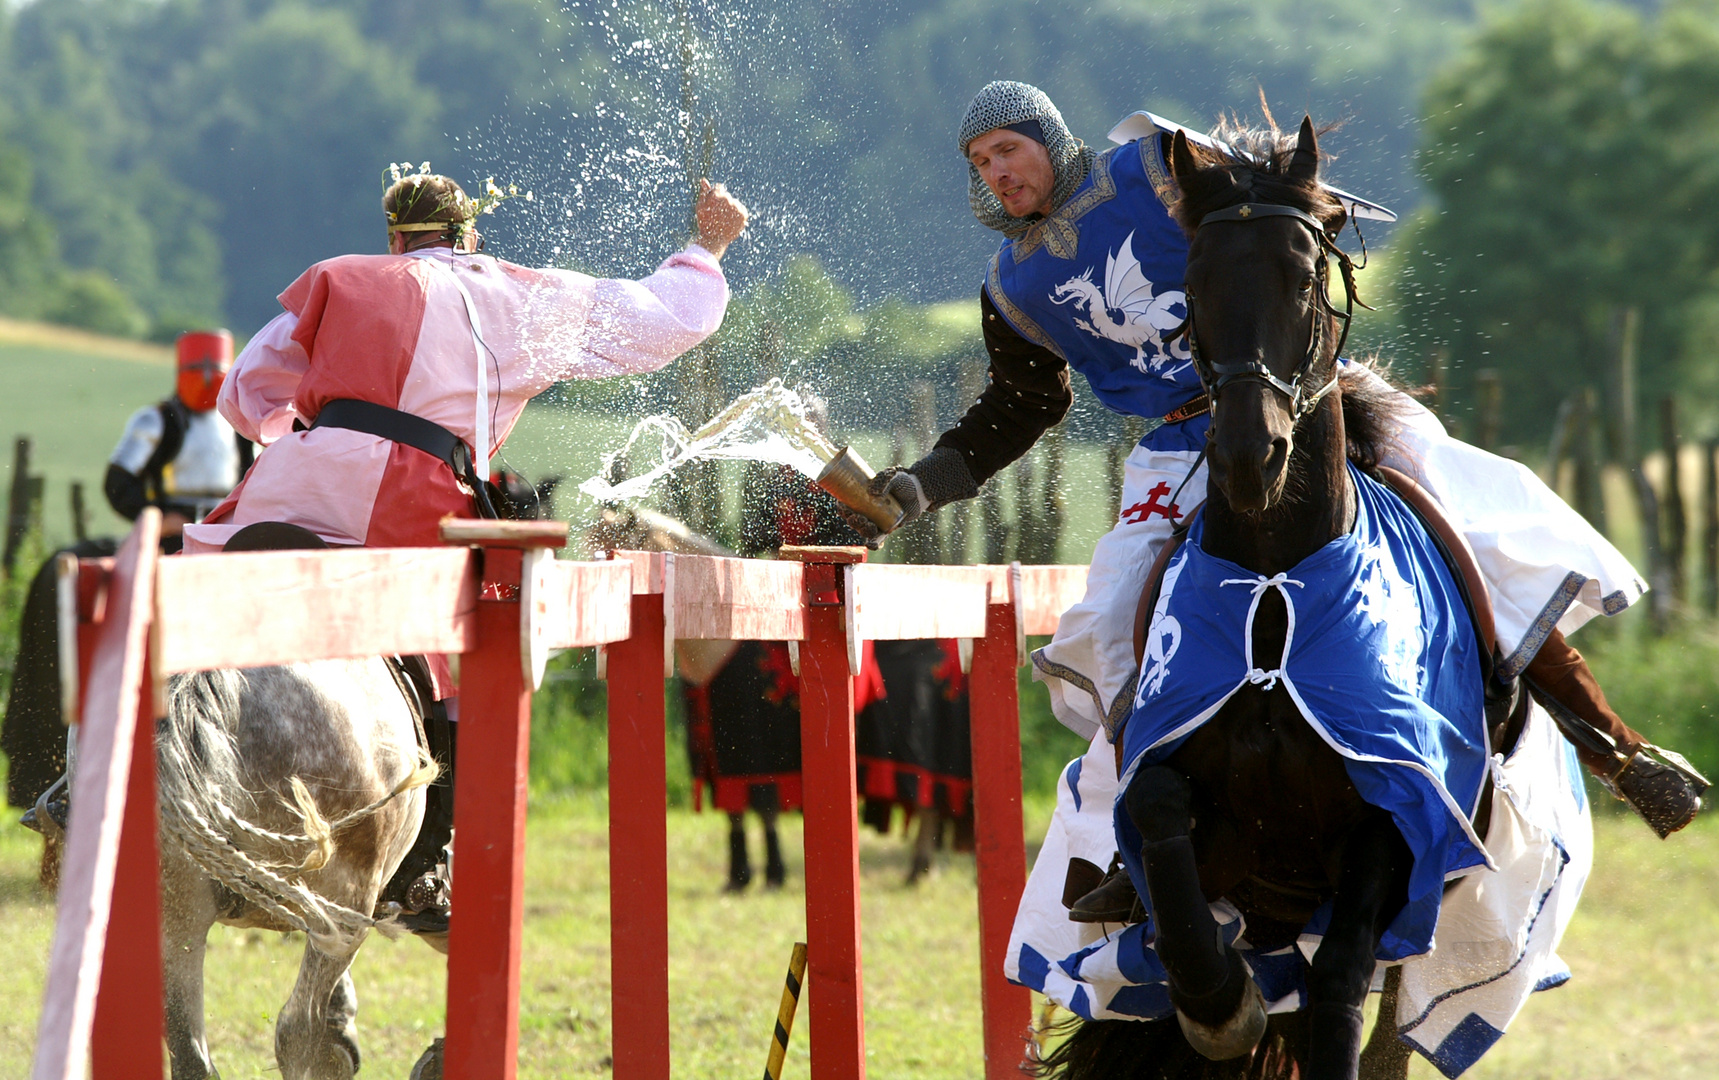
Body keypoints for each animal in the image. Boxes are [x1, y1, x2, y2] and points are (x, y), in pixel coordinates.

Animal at [1031, 117, 1464, 1080]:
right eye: (1190, 285)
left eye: (1302, 277)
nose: (1245, 454)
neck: (1271, 581)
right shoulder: (1175, 785)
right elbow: (1158, 831)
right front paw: (1220, 1002)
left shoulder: (1396, 822)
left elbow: (1338, 985)